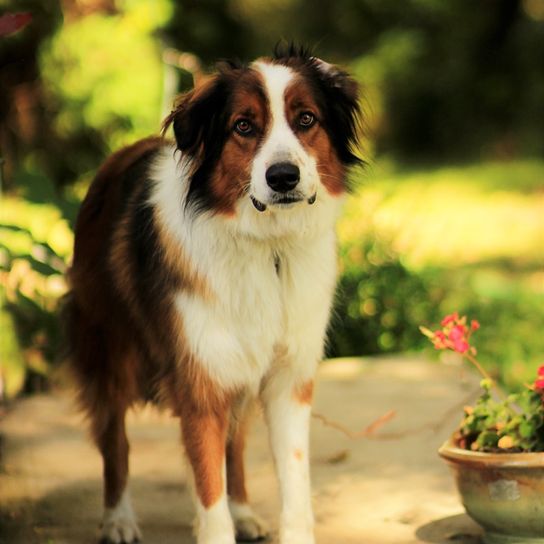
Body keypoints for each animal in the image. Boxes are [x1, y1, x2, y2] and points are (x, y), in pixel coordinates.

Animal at [67, 46, 362, 544]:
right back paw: (119, 519)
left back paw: (242, 510)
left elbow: (293, 484)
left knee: (233, 445)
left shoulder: (287, 378)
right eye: (243, 126)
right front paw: (212, 520)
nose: (283, 177)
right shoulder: (199, 380)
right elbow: (208, 488)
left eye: (306, 119)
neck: (268, 247)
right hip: (112, 352)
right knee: (115, 441)